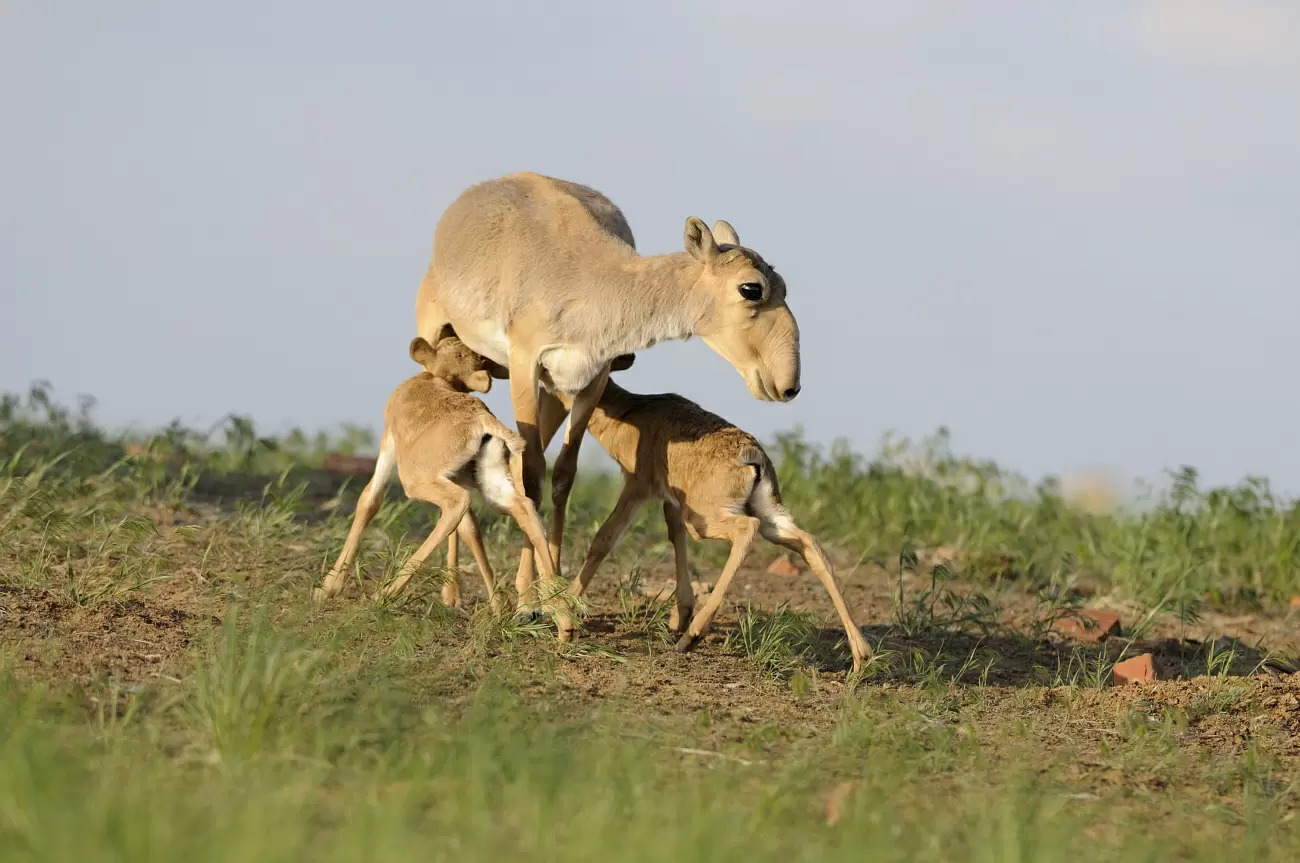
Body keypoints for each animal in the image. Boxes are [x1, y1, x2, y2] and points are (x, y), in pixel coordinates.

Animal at [416, 174, 800, 626]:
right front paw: (531, 600)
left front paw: (550, 595)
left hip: (550, 391)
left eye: (785, 286)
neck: (588, 279)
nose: (789, 385)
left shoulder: (588, 380)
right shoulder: (526, 367)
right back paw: (452, 591)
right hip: (437, 338)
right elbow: (531, 478)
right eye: (751, 288)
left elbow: (562, 476)